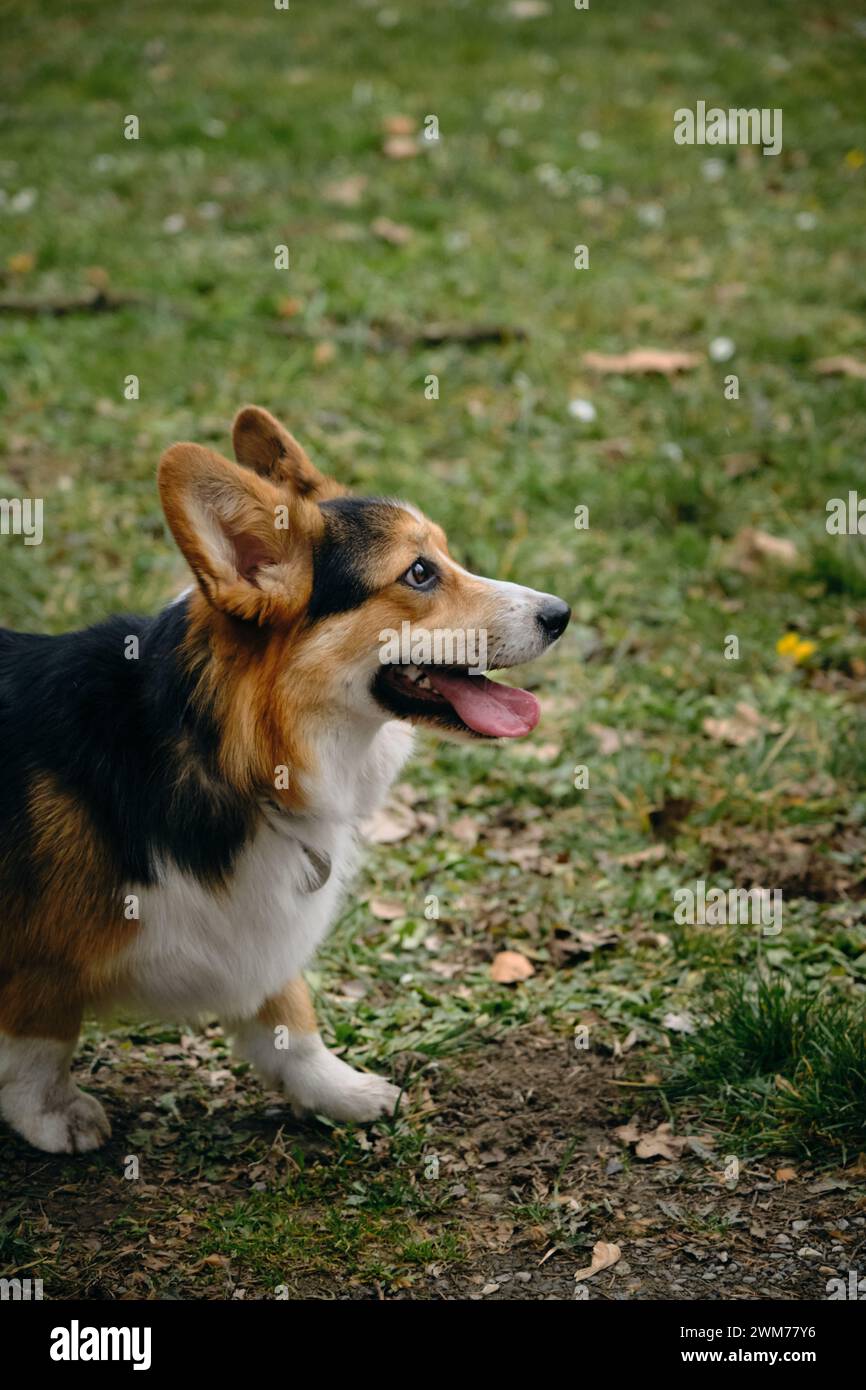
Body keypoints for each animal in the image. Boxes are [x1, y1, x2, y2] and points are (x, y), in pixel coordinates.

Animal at [0, 405, 572, 1156]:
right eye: (420, 572)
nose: (561, 615)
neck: (228, 749)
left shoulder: (258, 932)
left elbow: (289, 1018)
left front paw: (339, 1091)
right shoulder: (37, 957)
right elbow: (40, 1038)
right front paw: (51, 1114)